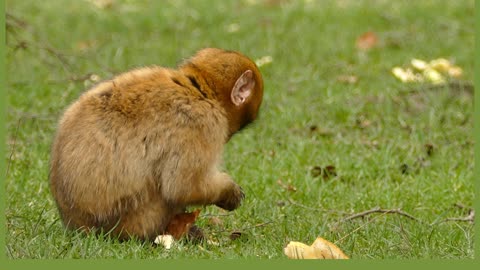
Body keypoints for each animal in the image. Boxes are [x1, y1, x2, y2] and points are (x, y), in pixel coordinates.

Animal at [48, 48, 262, 240]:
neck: (198, 90)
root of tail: (76, 225)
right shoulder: (202, 123)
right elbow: (183, 186)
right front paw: (229, 192)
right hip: (135, 220)